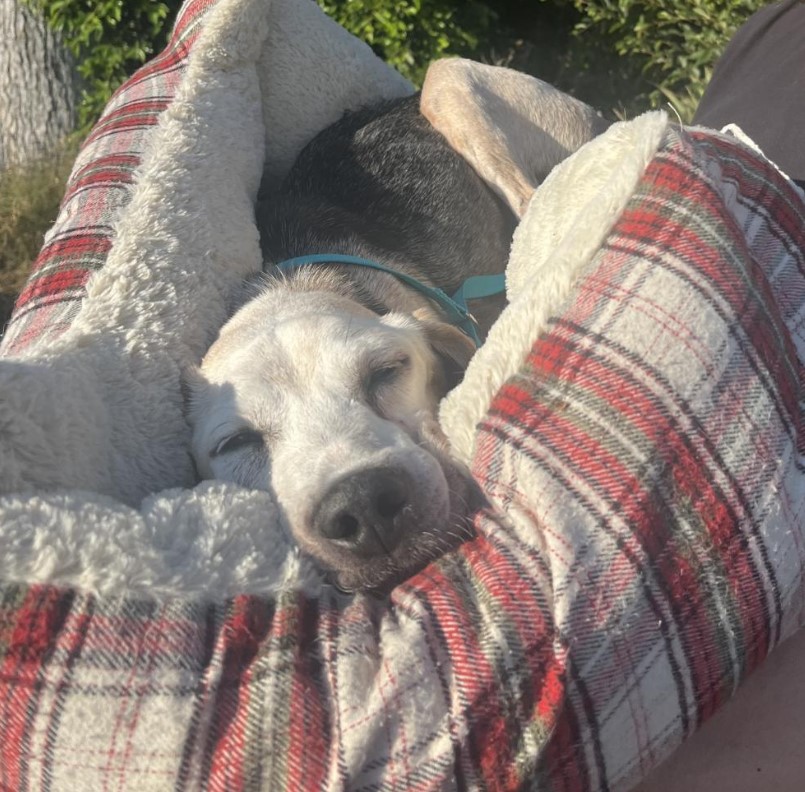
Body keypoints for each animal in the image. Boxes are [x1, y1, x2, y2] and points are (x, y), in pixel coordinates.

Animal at [185, 60, 608, 588]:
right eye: (235, 442)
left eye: (387, 370)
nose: (363, 504)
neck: (292, 282)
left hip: (446, 80)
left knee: (533, 206)